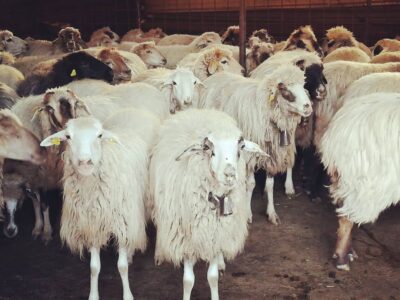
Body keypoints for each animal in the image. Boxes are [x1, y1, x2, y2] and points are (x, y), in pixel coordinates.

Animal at [40, 107, 159, 300]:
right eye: (68, 136)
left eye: (99, 135)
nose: (85, 161)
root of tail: (134, 109)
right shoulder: (92, 225)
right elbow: (94, 268)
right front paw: (93, 295)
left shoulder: (122, 221)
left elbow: (122, 267)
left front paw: (128, 295)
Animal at [150, 108, 266, 300]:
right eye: (208, 148)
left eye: (241, 147)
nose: (230, 174)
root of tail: (197, 110)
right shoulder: (187, 240)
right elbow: (188, 280)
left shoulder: (217, 234)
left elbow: (212, 277)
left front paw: (217, 270)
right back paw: (159, 253)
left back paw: (221, 262)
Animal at [200, 66, 312, 225]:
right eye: (284, 90)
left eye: (303, 85)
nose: (308, 107)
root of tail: (217, 75)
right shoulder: (249, 155)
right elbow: (251, 184)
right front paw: (248, 214)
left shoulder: (272, 155)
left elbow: (270, 185)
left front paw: (271, 213)